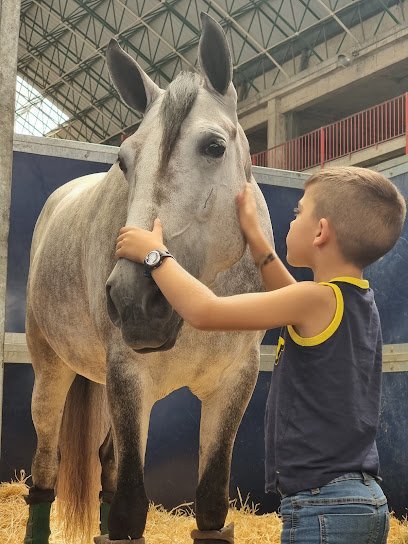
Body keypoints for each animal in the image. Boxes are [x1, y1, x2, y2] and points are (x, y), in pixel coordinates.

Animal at [26, 12, 274, 544]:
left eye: (214, 146)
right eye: (124, 160)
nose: (135, 300)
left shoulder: (234, 382)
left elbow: (209, 505)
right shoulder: (128, 376)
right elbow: (129, 511)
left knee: (105, 465)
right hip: (50, 372)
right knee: (44, 473)